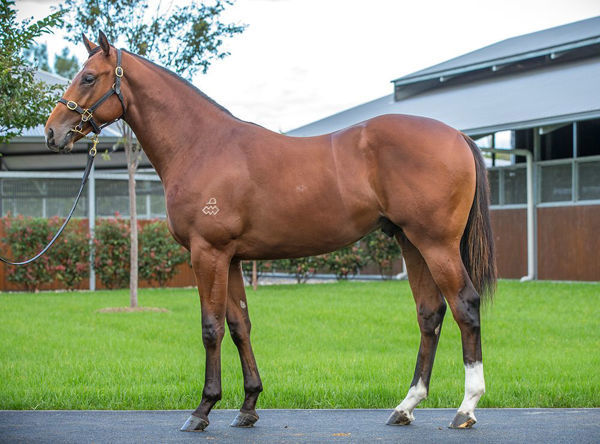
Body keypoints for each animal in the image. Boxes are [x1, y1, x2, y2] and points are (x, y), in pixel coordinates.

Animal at [43, 32, 496, 430]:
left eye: (88, 77)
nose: (52, 131)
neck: (201, 145)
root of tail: (456, 135)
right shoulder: (231, 259)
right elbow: (239, 326)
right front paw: (248, 406)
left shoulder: (208, 253)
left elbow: (211, 328)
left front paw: (202, 410)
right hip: (410, 242)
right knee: (430, 313)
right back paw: (406, 406)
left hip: (436, 244)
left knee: (465, 306)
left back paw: (466, 408)